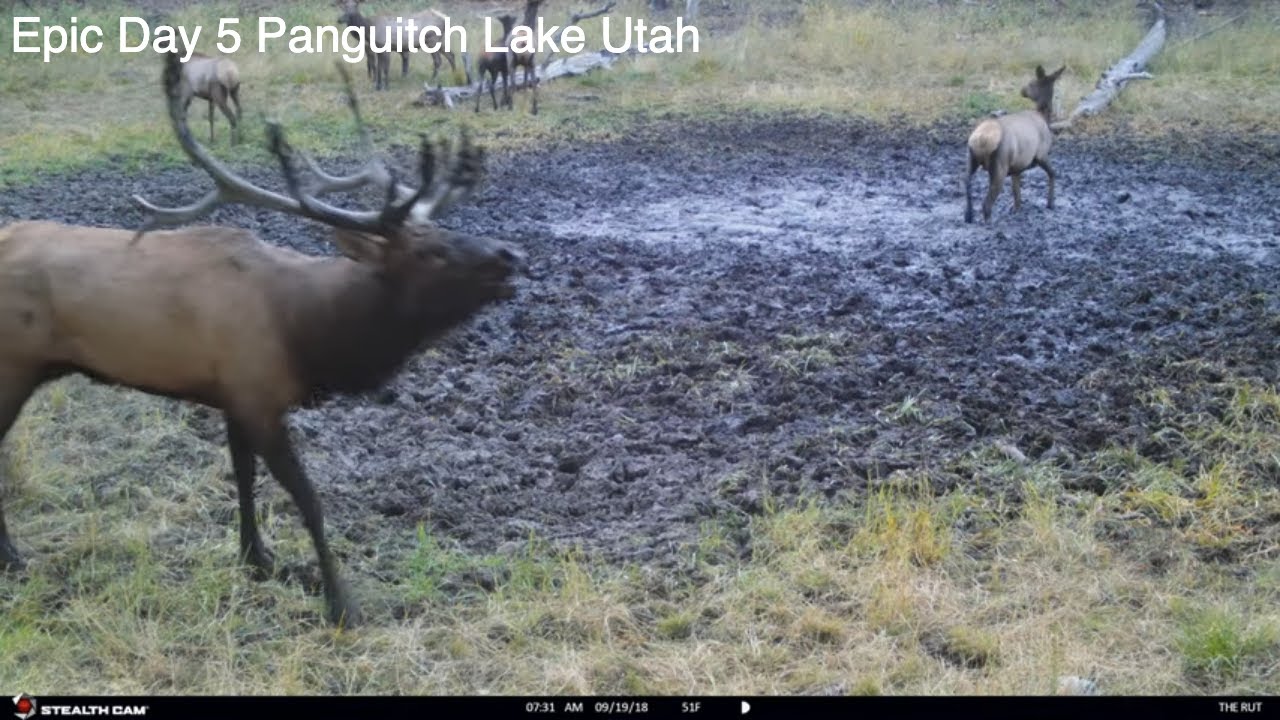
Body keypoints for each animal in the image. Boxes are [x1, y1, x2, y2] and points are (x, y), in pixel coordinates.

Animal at [0, 51, 524, 628]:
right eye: (430, 252)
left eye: (449, 230)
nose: (512, 256)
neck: (308, 329)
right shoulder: (258, 396)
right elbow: (308, 499)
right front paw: (341, 603)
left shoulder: (232, 396)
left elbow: (243, 477)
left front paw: (257, 559)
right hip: (12, 365)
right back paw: (14, 560)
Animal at [964, 64, 1065, 224]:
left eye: (1031, 83)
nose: (1022, 90)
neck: (1045, 117)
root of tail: (980, 140)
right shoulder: (1041, 154)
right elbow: (1053, 173)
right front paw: (1050, 203)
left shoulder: (1017, 167)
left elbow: (1016, 190)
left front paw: (1016, 209)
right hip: (1000, 165)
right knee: (986, 204)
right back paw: (989, 222)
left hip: (971, 159)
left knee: (966, 183)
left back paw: (968, 216)